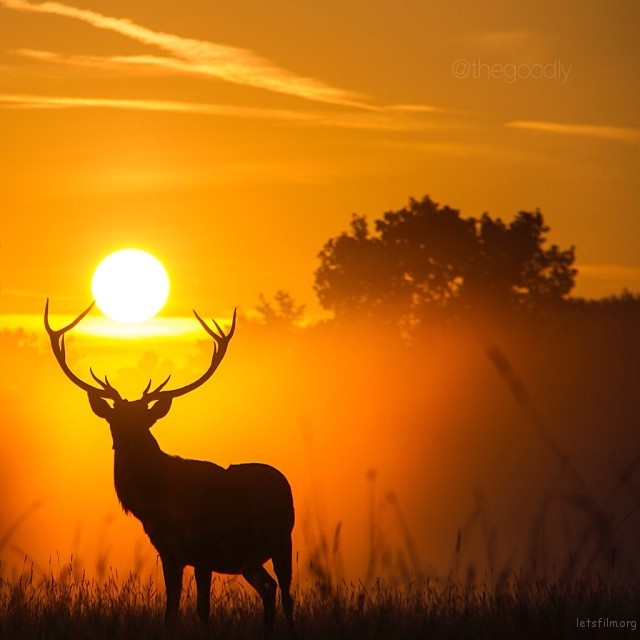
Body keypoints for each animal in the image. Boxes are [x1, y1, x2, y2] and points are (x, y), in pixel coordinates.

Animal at [44, 300, 296, 638]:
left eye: (145, 421)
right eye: (114, 420)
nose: (126, 444)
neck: (157, 501)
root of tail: (284, 482)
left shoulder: (203, 549)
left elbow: (202, 609)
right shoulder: (168, 550)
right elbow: (172, 609)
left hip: (283, 540)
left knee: (286, 595)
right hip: (248, 558)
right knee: (268, 588)